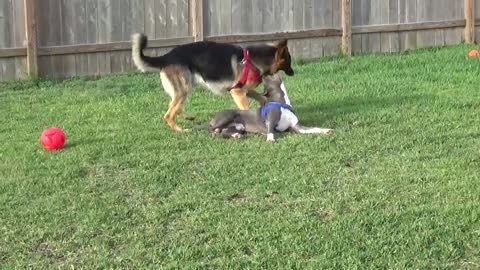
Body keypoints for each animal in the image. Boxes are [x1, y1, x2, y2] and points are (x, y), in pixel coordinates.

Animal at [130, 33, 292, 132]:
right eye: (289, 61)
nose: (293, 72)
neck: (253, 60)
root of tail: (166, 57)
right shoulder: (238, 92)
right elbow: (245, 109)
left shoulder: (244, 90)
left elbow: (262, 98)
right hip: (183, 89)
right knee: (168, 114)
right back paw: (180, 130)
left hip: (184, 89)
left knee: (172, 106)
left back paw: (188, 117)